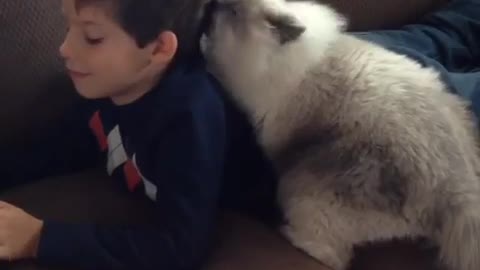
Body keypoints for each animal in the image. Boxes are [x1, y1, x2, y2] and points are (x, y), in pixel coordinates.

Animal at [201, 0, 480, 268]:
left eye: (233, 12)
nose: (211, 6)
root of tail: (461, 190)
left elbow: (214, 57)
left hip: (301, 191)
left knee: (331, 256)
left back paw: (284, 232)